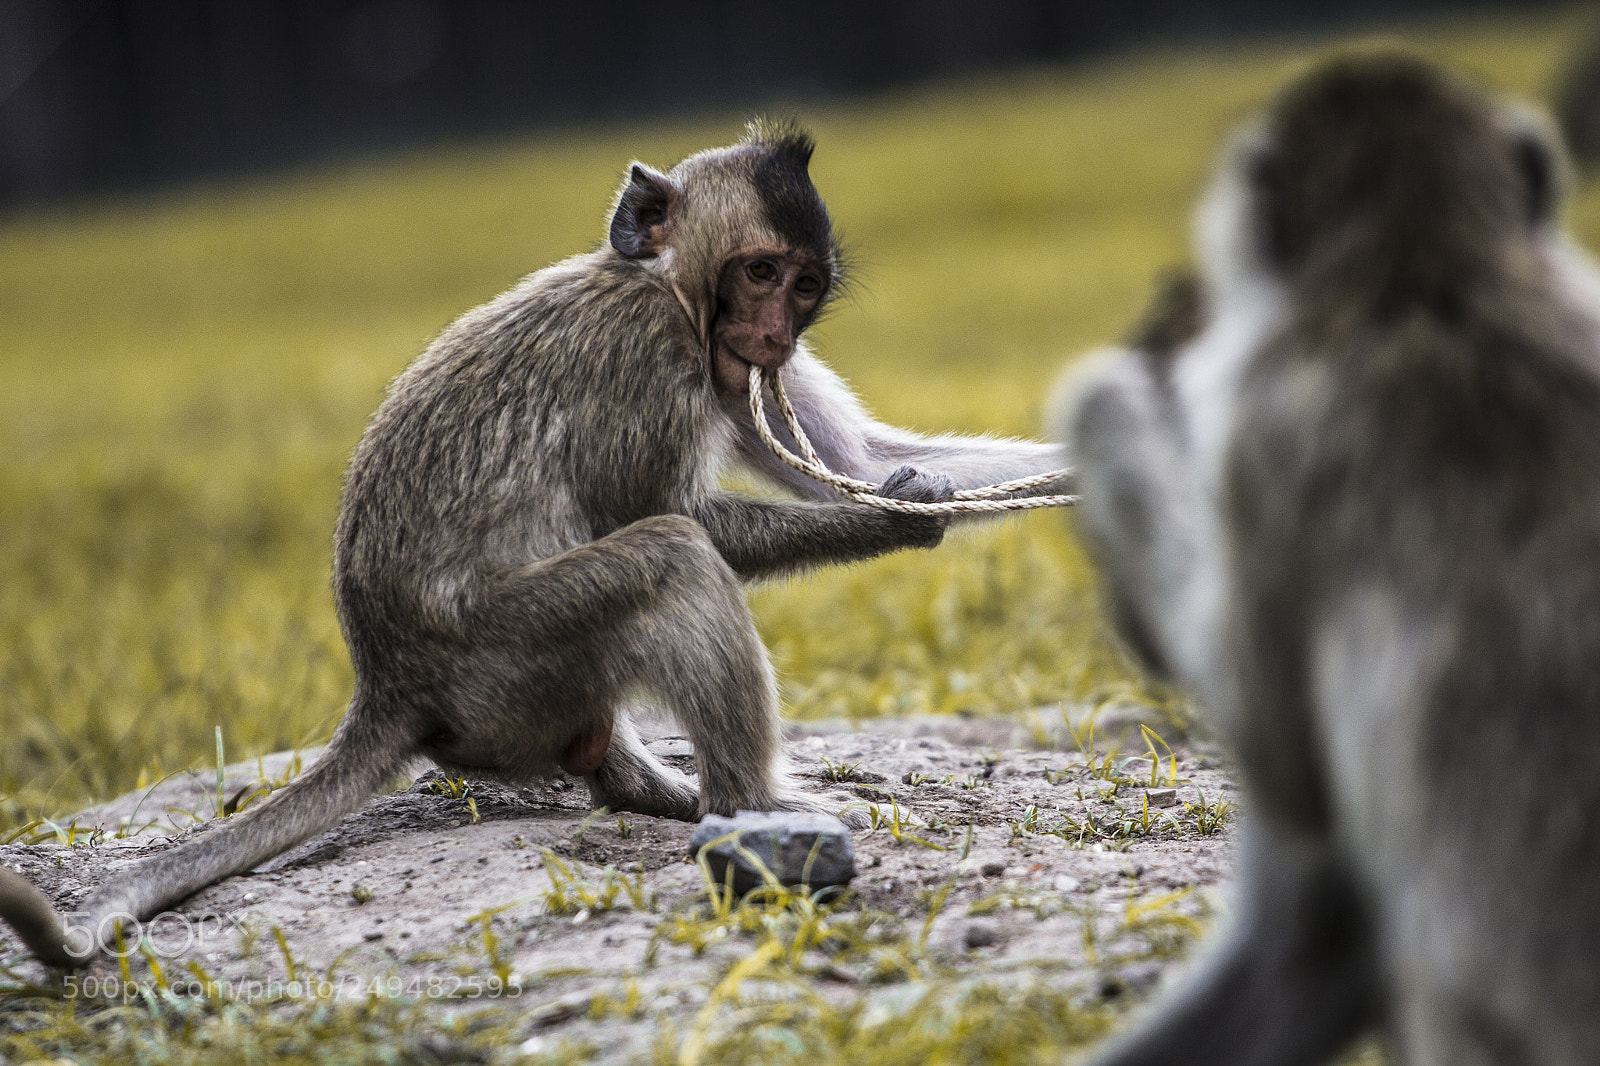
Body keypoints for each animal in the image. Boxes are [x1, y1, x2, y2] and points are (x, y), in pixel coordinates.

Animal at [0, 120, 1065, 968]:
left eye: (803, 286)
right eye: (758, 272)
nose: (770, 334)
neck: (663, 287)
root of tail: (388, 687)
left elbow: (861, 456)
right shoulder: (646, 353)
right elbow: (667, 511)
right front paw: (892, 518)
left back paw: (657, 790)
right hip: (503, 666)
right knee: (670, 555)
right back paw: (752, 810)